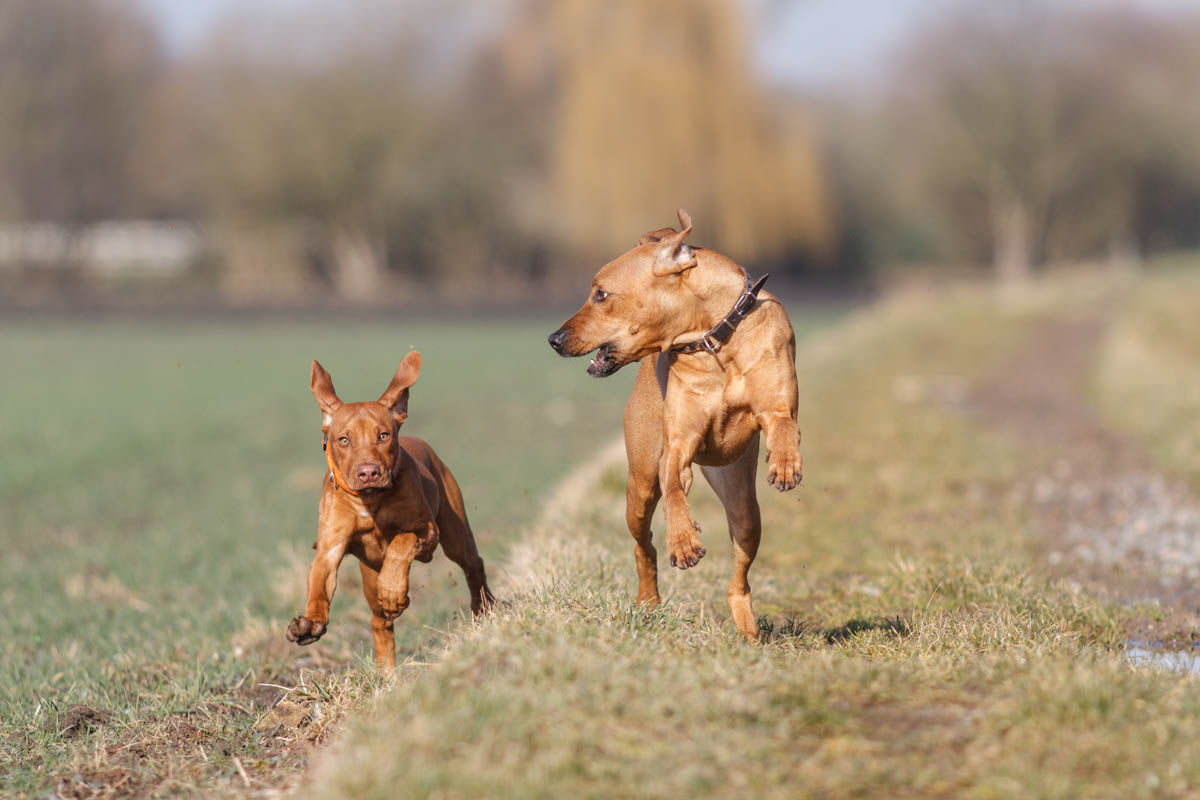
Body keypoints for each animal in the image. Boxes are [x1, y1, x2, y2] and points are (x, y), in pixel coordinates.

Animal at [285, 352, 492, 666]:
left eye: (383, 435)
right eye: (343, 439)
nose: (368, 472)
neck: (371, 501)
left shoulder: (427, 532)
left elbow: (401, 542)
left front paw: (393, 590)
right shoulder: (329, 549)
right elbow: (319, 583)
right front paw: (311, 623)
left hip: (455, 534)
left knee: (473, 564)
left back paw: (484, 608)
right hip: (368, 576)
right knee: (379, 622)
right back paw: (387, 670)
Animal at [549, 209, 801, 642]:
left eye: (600, 294)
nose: (553, 338)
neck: (715, 342)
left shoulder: (777, 407)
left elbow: (783, 424)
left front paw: (785, 464)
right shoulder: (679, 443)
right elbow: (673, 487)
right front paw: (683, 540)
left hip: (744, 508)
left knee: (739, 575)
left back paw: (747, 629)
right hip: (639, 485)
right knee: (645, 542)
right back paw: (649, 598)